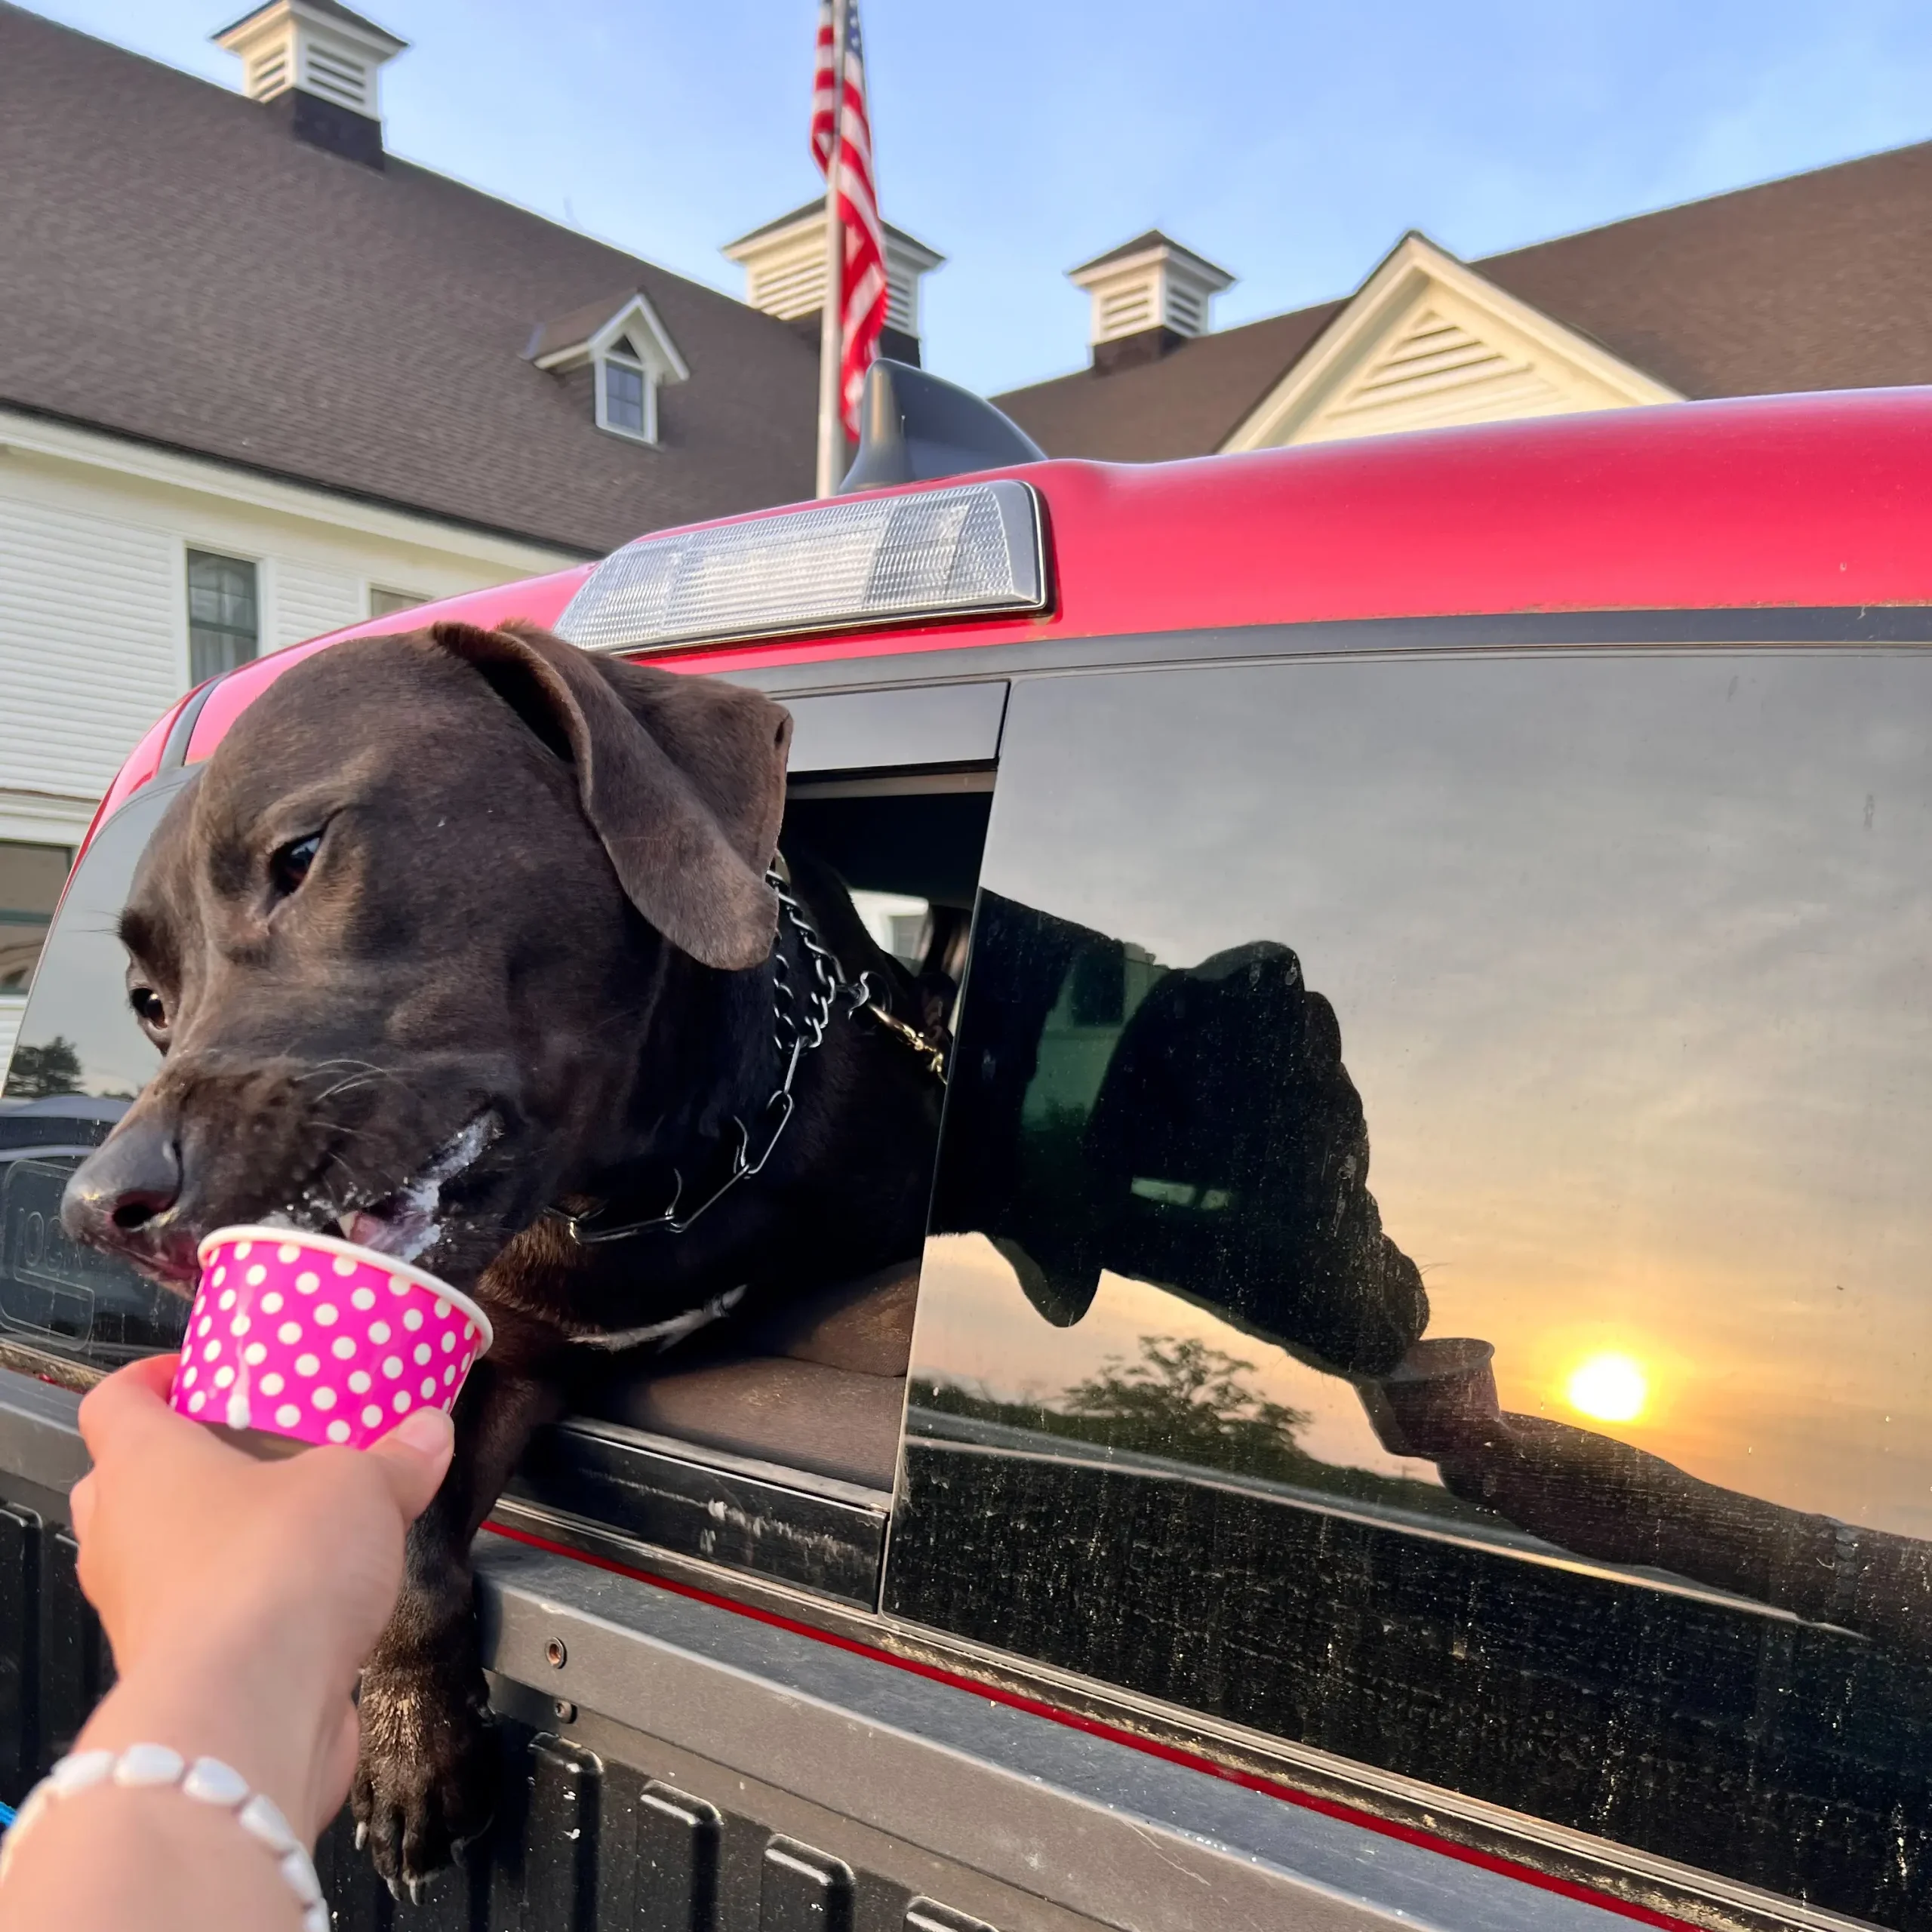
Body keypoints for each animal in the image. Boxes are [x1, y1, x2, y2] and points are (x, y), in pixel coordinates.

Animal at [53, 626, 943, 1893]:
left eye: (302, 855)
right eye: (147, 1000)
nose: (95, 1205)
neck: (642, 1198)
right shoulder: (504, 1358)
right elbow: (413, 1549)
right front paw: (409, 1745)